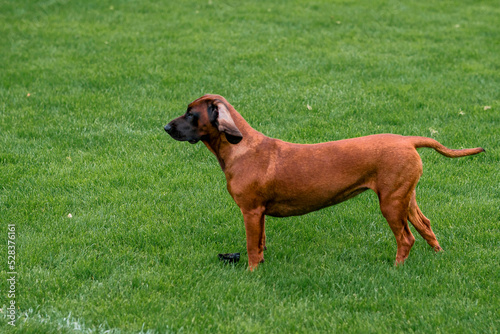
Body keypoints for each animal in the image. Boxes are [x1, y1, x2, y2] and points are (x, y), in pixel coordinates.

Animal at [165, 94, 484, 272]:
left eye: (191, 114)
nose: (165, 126)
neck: (241, 148)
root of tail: (408, 140)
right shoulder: (260, 214)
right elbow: (262, 243)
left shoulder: (251, 212)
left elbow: (252, 247)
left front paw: (252, 273)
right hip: (406, 198)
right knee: (426, 226)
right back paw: (438, 256)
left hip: (391, 204)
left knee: (406, 238)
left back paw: (396, 269)